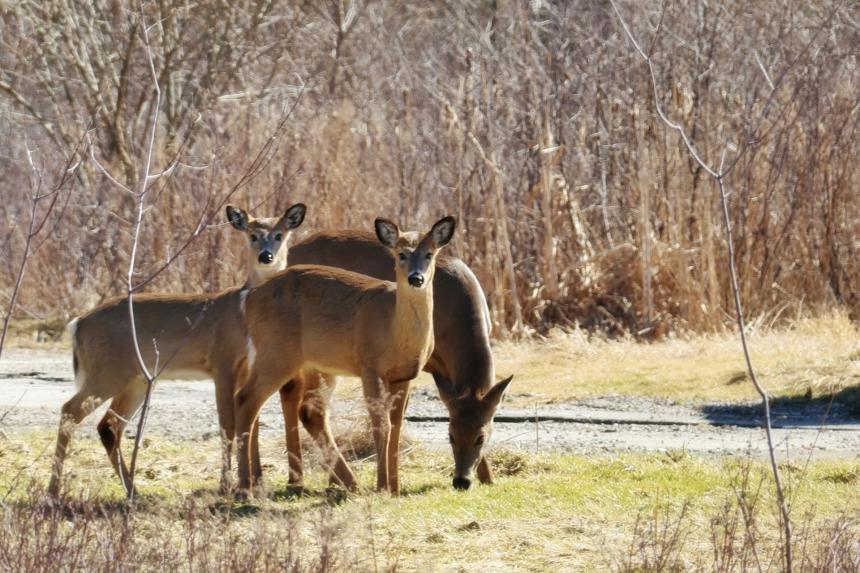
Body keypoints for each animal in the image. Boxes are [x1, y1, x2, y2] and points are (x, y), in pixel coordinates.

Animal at [47, 203, 317, 497]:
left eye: (279, 234)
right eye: (252, 235)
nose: (266, 256)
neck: (242, 312)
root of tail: (77, 323)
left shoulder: (248, 368)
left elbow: (252, 423)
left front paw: (256, 485)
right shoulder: (222, 361)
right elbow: (228, 424)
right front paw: (226, 486)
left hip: (135, 379)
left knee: (108, 425)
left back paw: (133, 490)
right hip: (107, 371)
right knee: (70, 411)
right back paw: (54, 490)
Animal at [236, 216, 457, 495]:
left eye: (429, 254)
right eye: (401, 254)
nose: (415, 278)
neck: (395, 332)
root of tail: (249, 297)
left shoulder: (404, 376)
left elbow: (396, 428)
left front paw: (395, 488)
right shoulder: (370, 367)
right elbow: (381, 426)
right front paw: (383, 487)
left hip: (310, 363)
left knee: (302, 410)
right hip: (277, 352)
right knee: (246, 400)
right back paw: (246, 486)